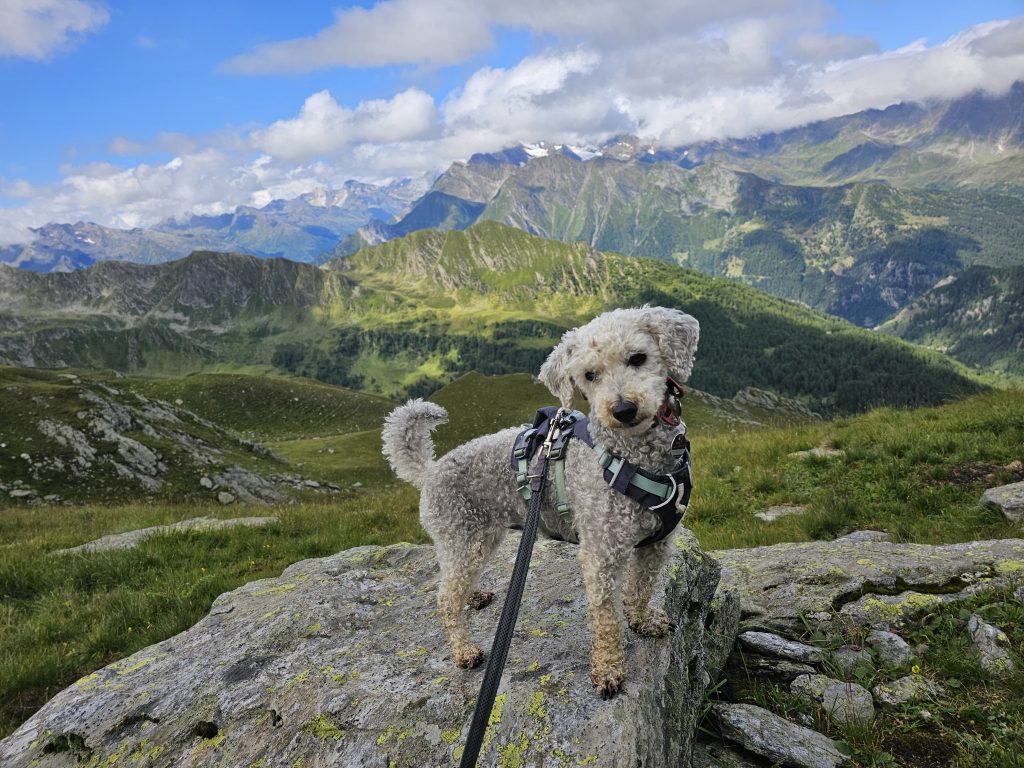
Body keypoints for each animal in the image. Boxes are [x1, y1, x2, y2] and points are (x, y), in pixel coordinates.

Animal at [381, 306, 699, 697]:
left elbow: (640, 590)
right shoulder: (601, 554)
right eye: (589, 375)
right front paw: (608, 669)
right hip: (464, 540)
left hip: (476, 541)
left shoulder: (656, 544)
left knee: (453, 583)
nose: (623, 409)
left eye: (638, 358)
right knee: (445, 600)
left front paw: (642, 622)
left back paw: (474, 596)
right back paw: (464, 650)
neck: (632, 455)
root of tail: (430, 470)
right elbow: (607, 619)